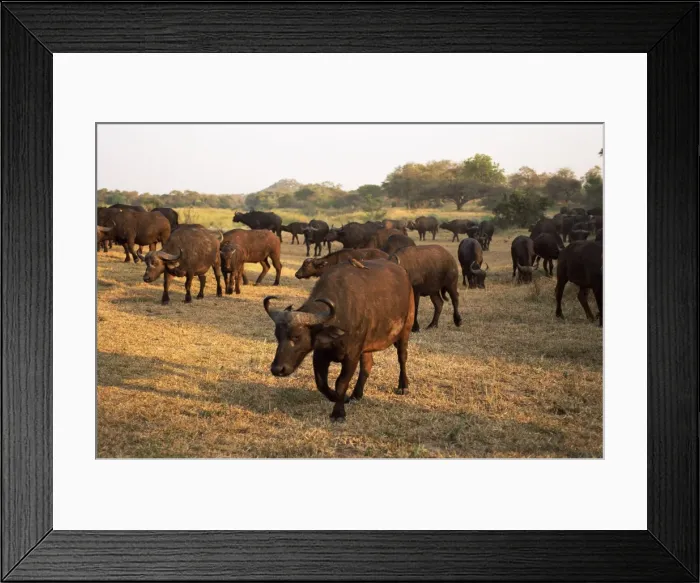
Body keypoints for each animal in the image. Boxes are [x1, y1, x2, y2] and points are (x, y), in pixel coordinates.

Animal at [264, 259, 415, 420]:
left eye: (296, 336)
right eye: (277, 336)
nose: (277, 369)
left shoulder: (351, 356)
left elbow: (341, 383)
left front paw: (338, 412)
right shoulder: (320, 355)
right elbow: (321, 383)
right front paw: (336, 397)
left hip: (405, 331)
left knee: (402, 357)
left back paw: (403, 386)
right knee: (367, 364)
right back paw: (356, 395)